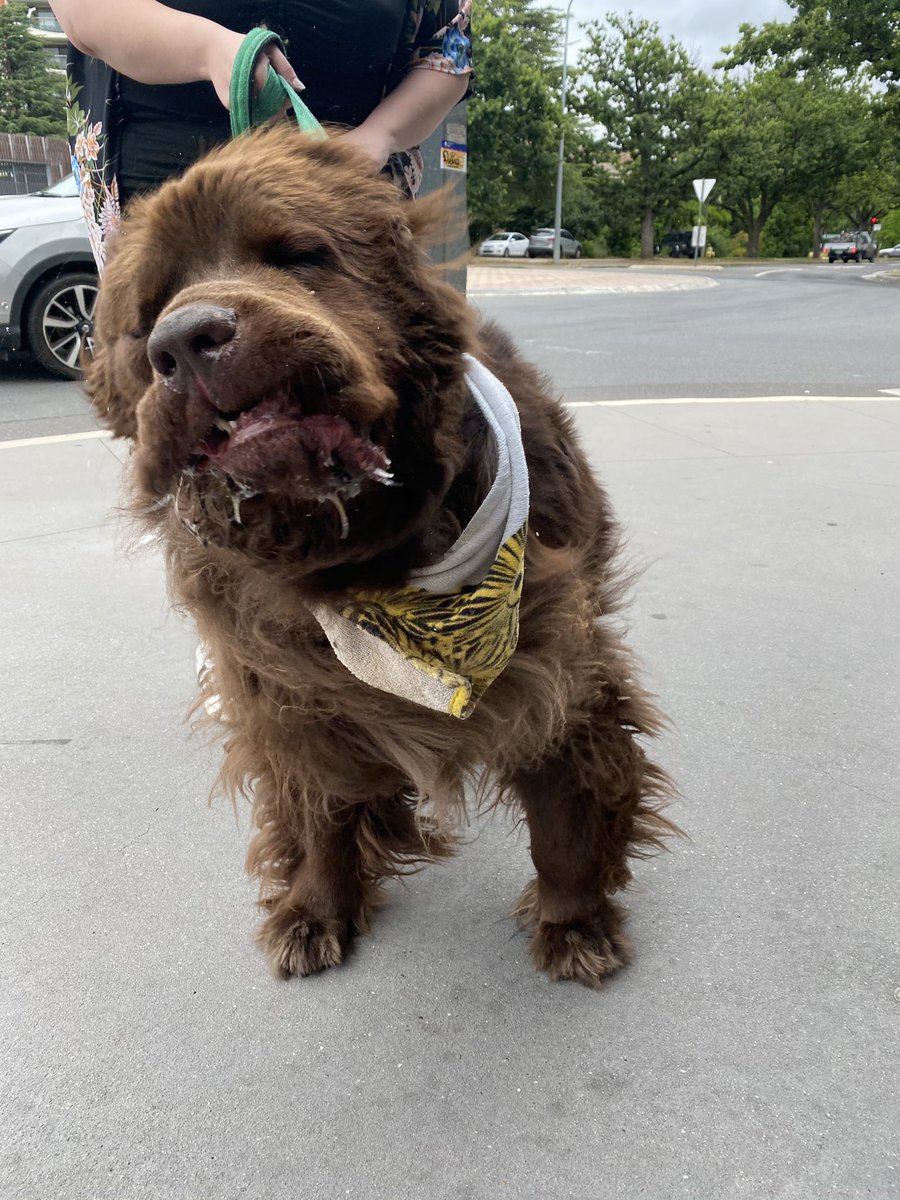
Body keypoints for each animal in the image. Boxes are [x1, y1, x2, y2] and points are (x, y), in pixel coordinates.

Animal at [90, 126, 676, 988]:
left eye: (298, 254)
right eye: (144, 317)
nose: (186, 340)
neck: (372, 567)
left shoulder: (560, 673)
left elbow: (564, 820)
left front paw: (574, 924)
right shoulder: (291, 694)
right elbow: (320, 815)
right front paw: (316, 909)